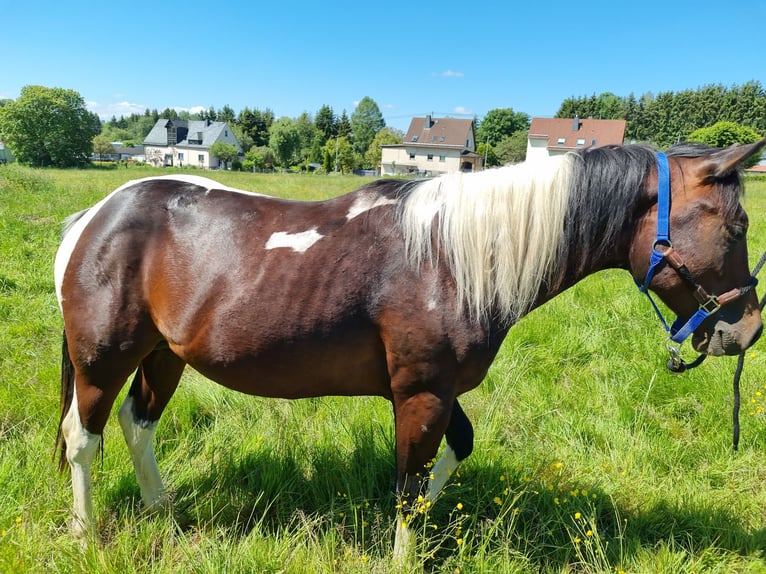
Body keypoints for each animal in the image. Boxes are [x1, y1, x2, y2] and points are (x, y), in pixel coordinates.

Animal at [55, 142, 766, 560]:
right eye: (736, 227)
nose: (747, 330)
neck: (450, 259)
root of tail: (94, 217)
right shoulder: (421, 394)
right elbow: (408, 485)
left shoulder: (440, 391)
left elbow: (450, 457)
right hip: (103, 357)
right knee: (82, 435)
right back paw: (86, 534)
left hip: (165, 353)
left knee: (137, 423)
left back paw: (162, 509)